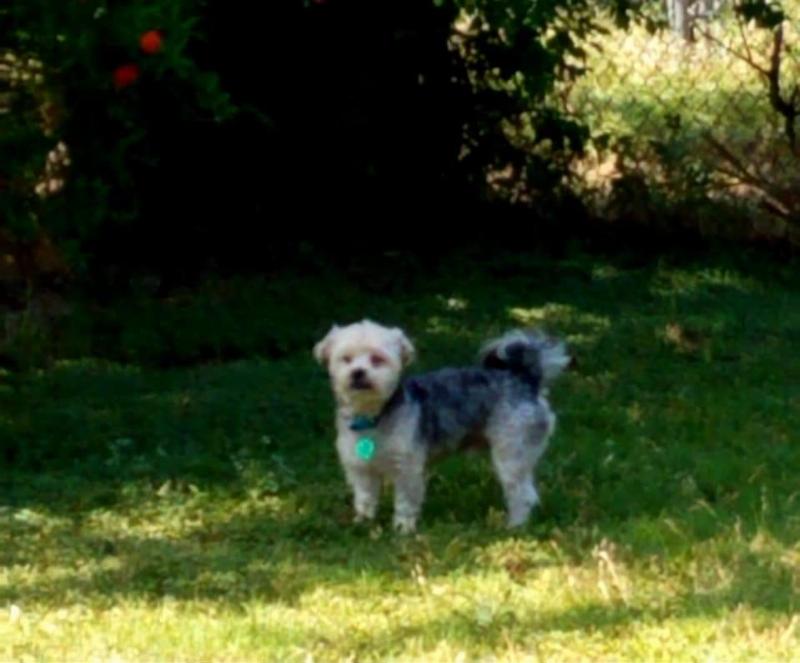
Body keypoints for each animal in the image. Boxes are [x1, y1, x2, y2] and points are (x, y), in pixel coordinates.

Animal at [313, 320, 569, 532]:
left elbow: (405, 501)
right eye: (346, 359)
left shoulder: (407, 468)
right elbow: (365, 499)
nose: (358, 372)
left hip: (511, 454)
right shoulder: (362, 470)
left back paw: (515, 526)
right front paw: (363, 523)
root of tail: (525, 379)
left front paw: (403, 529)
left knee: (522, 494)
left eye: (377, 359)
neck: (374, 415)